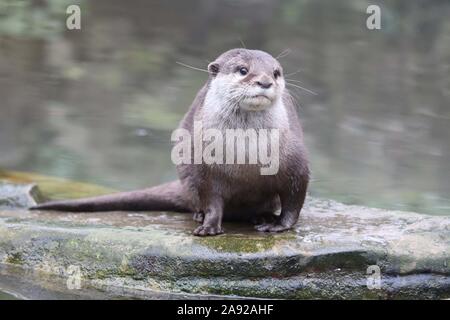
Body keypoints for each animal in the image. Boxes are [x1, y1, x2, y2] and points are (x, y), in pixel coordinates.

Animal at [30, 48, 310, 236]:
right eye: (243, 70)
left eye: (276, 72)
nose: (265, 81)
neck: (245, 155)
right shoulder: (204, 166)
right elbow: (212, 198)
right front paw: (209, 225)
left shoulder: (295, 160)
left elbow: (295, 197)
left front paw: (278, 225)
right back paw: (199, 215)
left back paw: (262, 216)